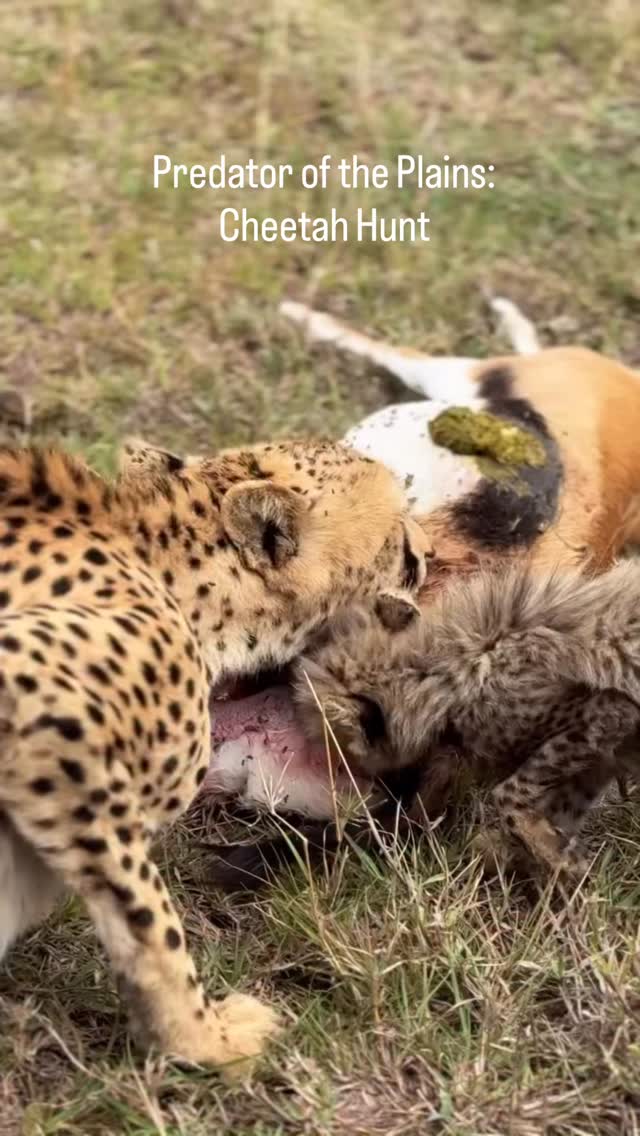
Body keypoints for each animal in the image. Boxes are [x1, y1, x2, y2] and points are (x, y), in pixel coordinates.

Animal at [289, 561, 640, 884]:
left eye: (344, 755)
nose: (382, 790)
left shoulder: (608, 713)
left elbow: (506, 794)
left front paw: (550, 859)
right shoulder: (600, 760)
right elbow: (561, 809)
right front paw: (549, 861)